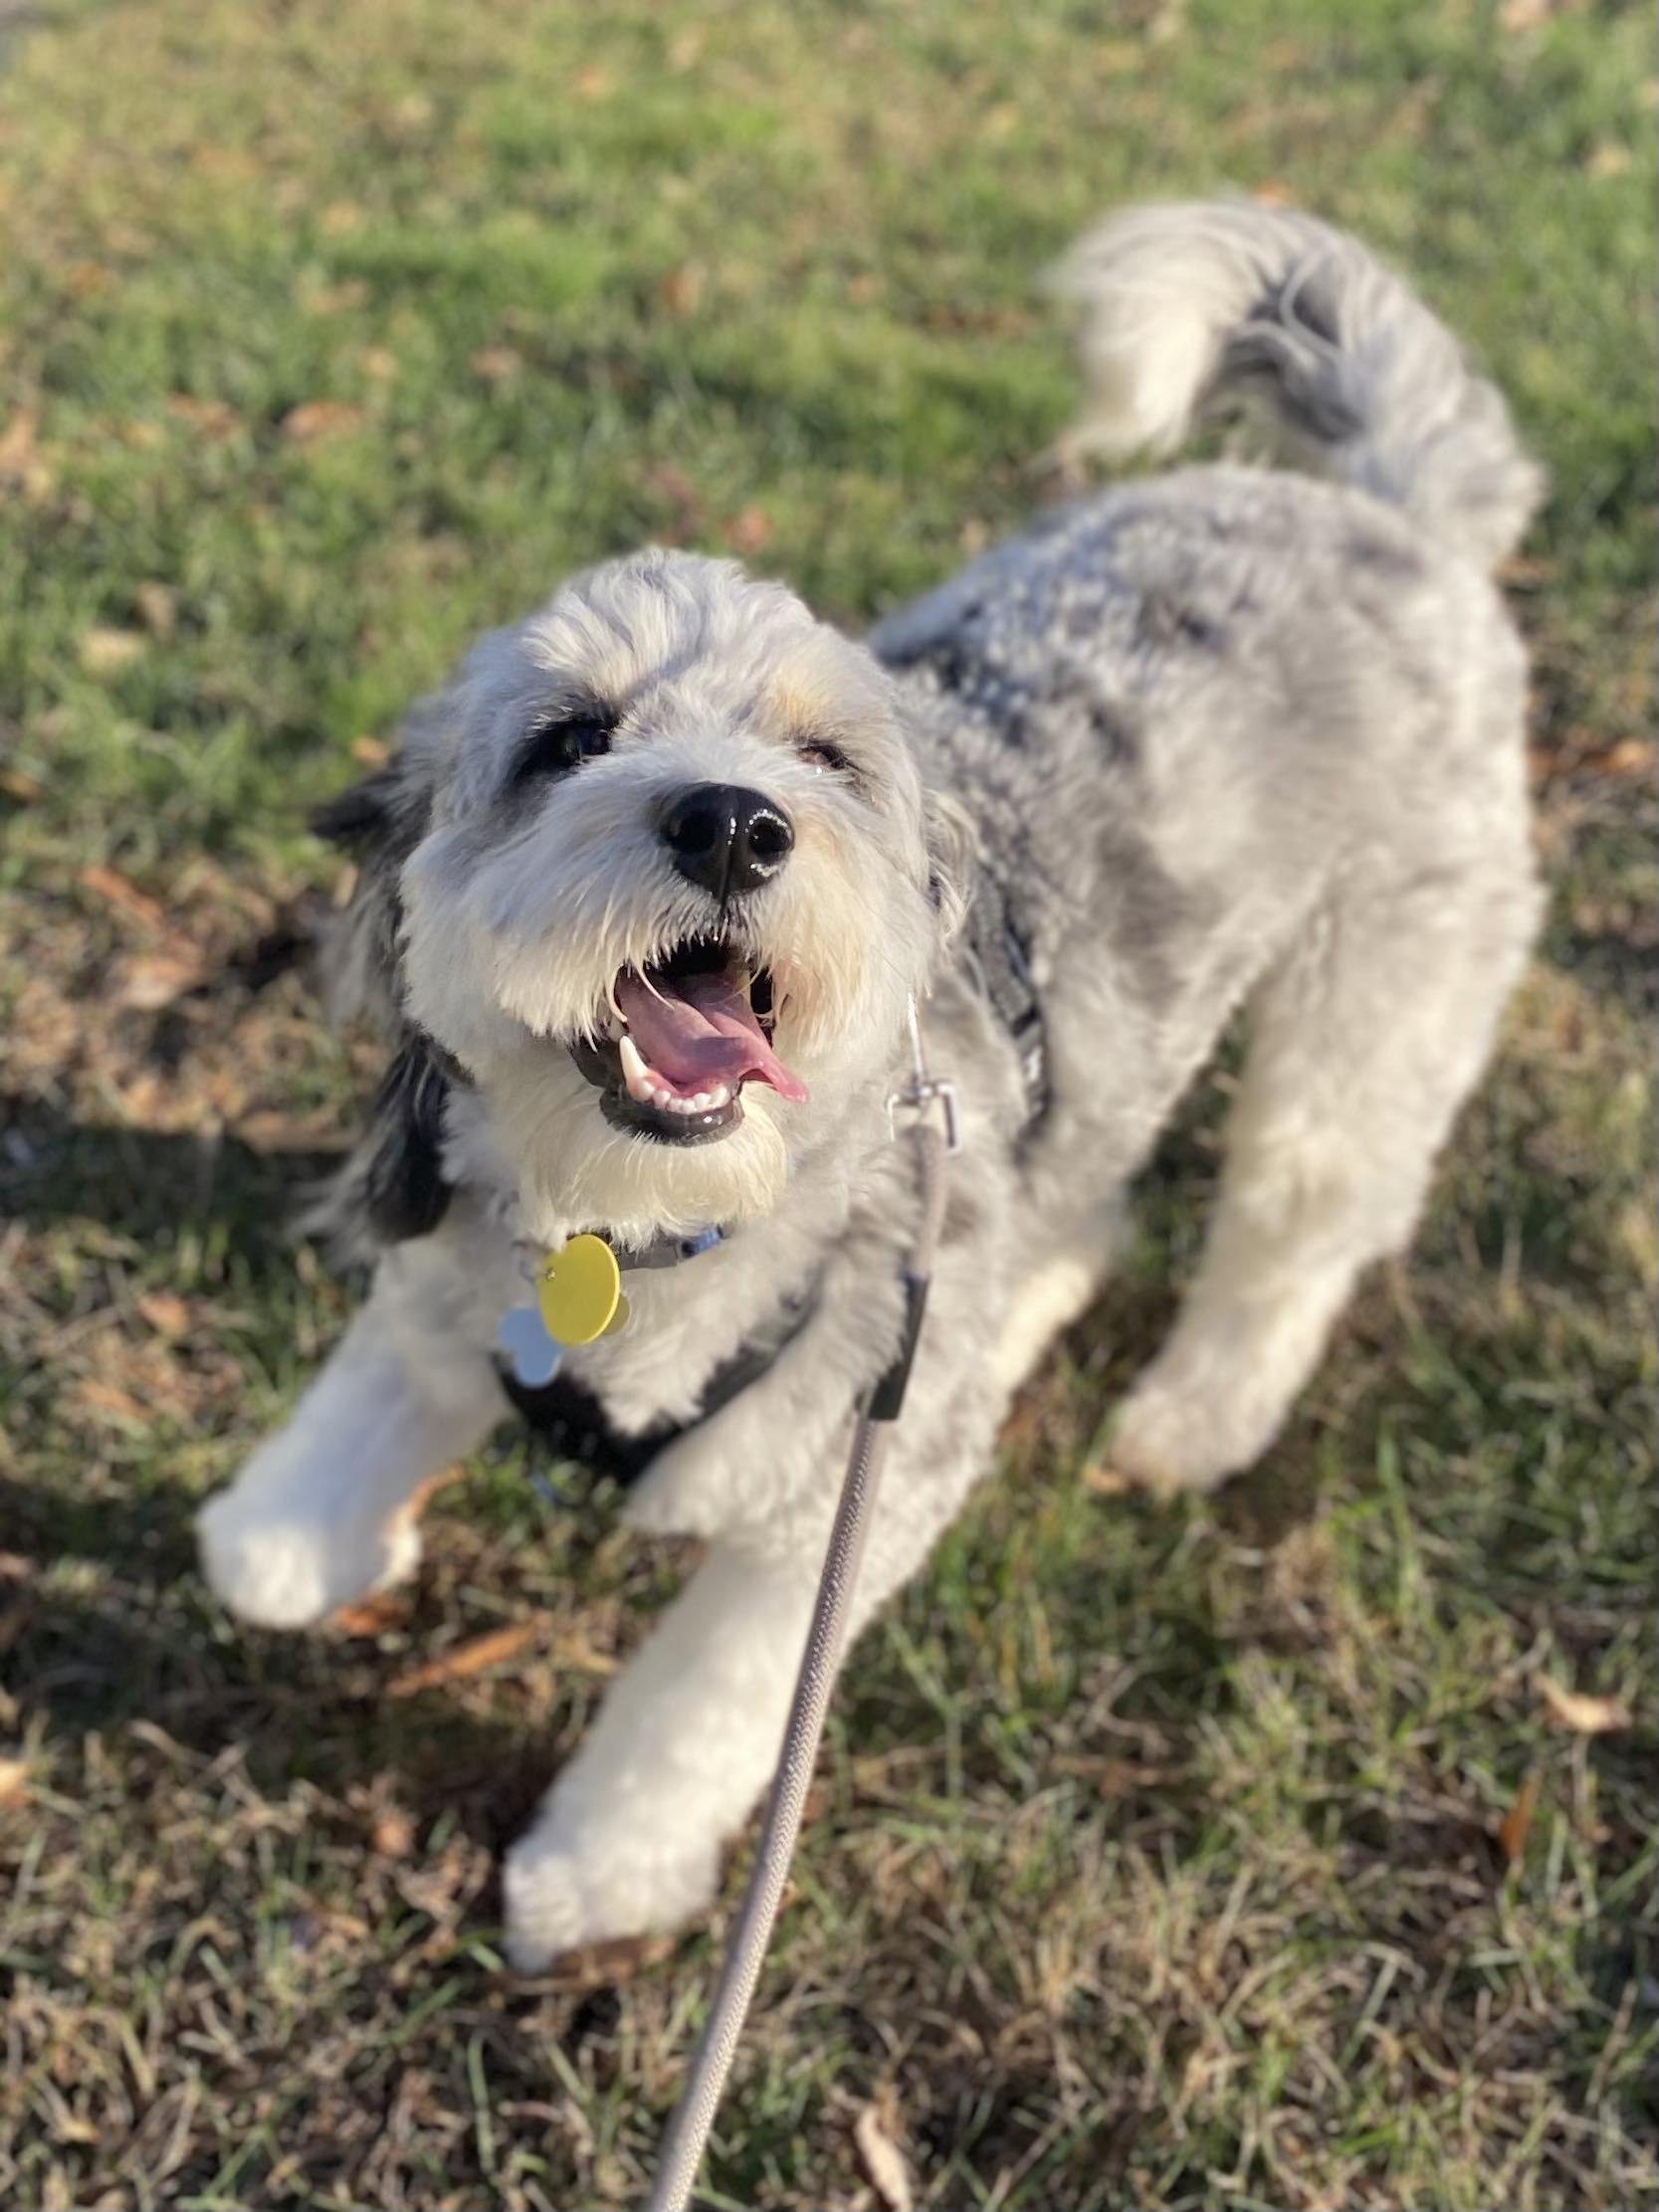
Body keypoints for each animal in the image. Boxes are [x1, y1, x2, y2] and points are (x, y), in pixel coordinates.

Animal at [197, 201, 1543, 1969]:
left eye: (825, 760)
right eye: (565, 738)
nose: (728, 819)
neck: (655, 1229)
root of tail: (1384, 511)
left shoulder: (819, 1522)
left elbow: (700, 1710)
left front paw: (597, 1868)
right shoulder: (459, 1268)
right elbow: (323, 1464)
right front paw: (310, 1535)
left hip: (1371, 1011)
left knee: (1290, 1231)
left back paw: (1190, 1416)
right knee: (1080, 1205)